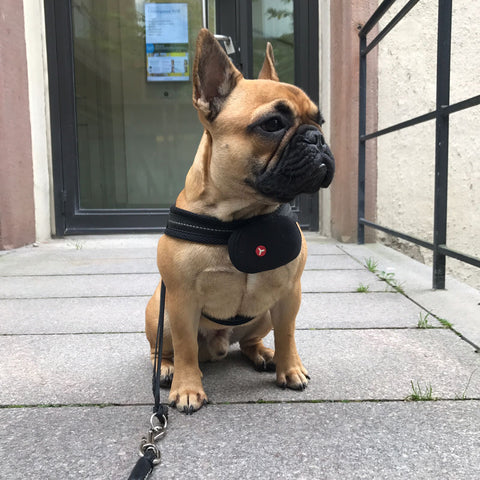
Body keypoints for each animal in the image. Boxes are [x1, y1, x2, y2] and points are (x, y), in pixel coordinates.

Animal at [145, 29, 334, 414]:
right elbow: (186, 348)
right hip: (160, 312)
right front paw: (188, 389)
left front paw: (290, 368)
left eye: (319, 121)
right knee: (163, 350)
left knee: (252, 341)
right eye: (272, 124)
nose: (318, 138)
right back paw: (168, 369)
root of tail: (219, 345)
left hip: (262, 314)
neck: (242, 217)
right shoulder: (181, 301)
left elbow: (288, 333)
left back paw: (265, 354)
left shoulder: (289, 294)